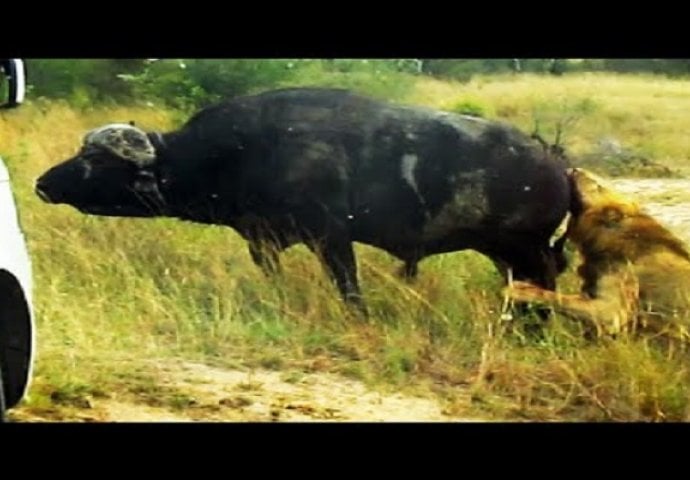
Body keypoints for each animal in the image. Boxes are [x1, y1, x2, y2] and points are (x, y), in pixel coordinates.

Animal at [35, 86, 568, 312]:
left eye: (96, 159)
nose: (43, 183)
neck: (243, 149)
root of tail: (552, 161)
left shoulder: (331, 237)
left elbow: (349, 290)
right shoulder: (263, 240)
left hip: (530, 254)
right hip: (506, 258)